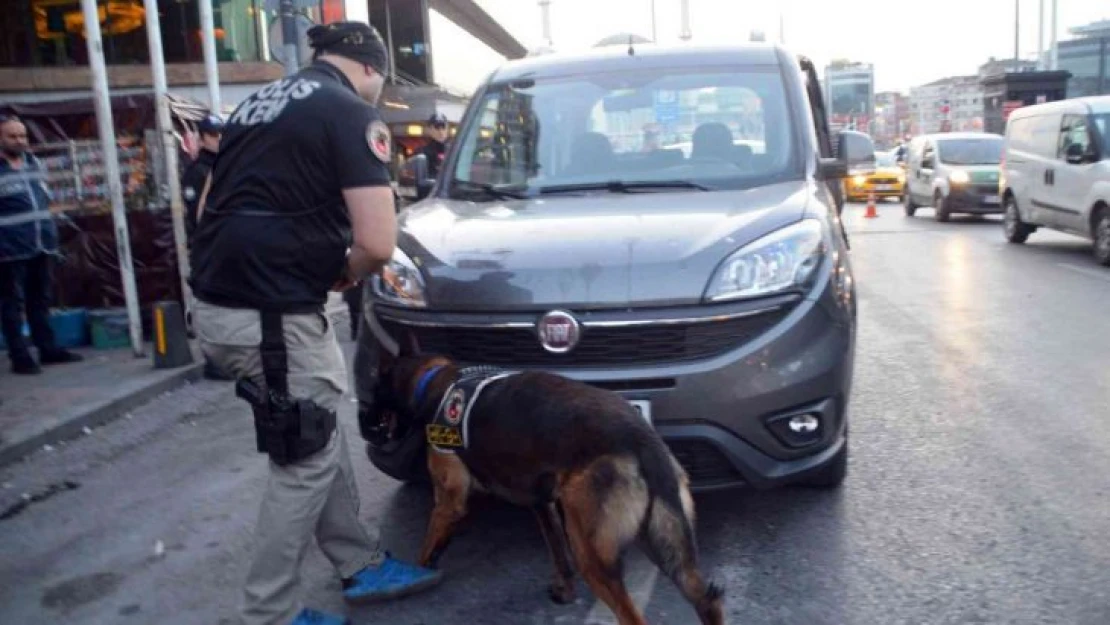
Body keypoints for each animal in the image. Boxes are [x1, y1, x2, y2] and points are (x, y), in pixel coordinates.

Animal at [372, 353, 723, 625]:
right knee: (706, 598)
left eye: (374, 392)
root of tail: (643, 441)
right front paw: (564, 590)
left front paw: (415, 573)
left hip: (592, 552)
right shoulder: (542, 504)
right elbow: (557, 552)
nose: (366, 418)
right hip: (666, 545)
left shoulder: (449, 501)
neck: (433, 380)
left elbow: (428, 543)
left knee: (633, 616)